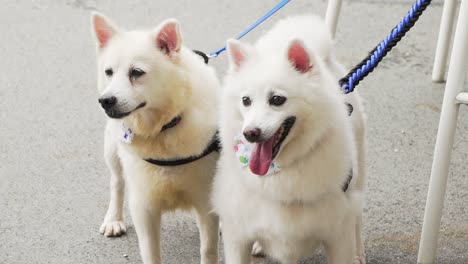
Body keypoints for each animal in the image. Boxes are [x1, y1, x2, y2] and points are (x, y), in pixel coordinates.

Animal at [93, 12, 221, 264]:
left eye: (136, 72)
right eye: (109, 72)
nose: (106, 101)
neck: (163, 129)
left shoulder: (206, 204)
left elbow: (208, 249)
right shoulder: (144, 207)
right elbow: (150, 251)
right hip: (112, 150)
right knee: (117, 182)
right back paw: (114, 218)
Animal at [210, 16, 368, 264]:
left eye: (277, 99)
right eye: (246, 100)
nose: (250, 133)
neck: (281, 171)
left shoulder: (338, 234)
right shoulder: (238, 233)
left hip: (358, 174)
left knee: (357, 217)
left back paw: (359, 252)